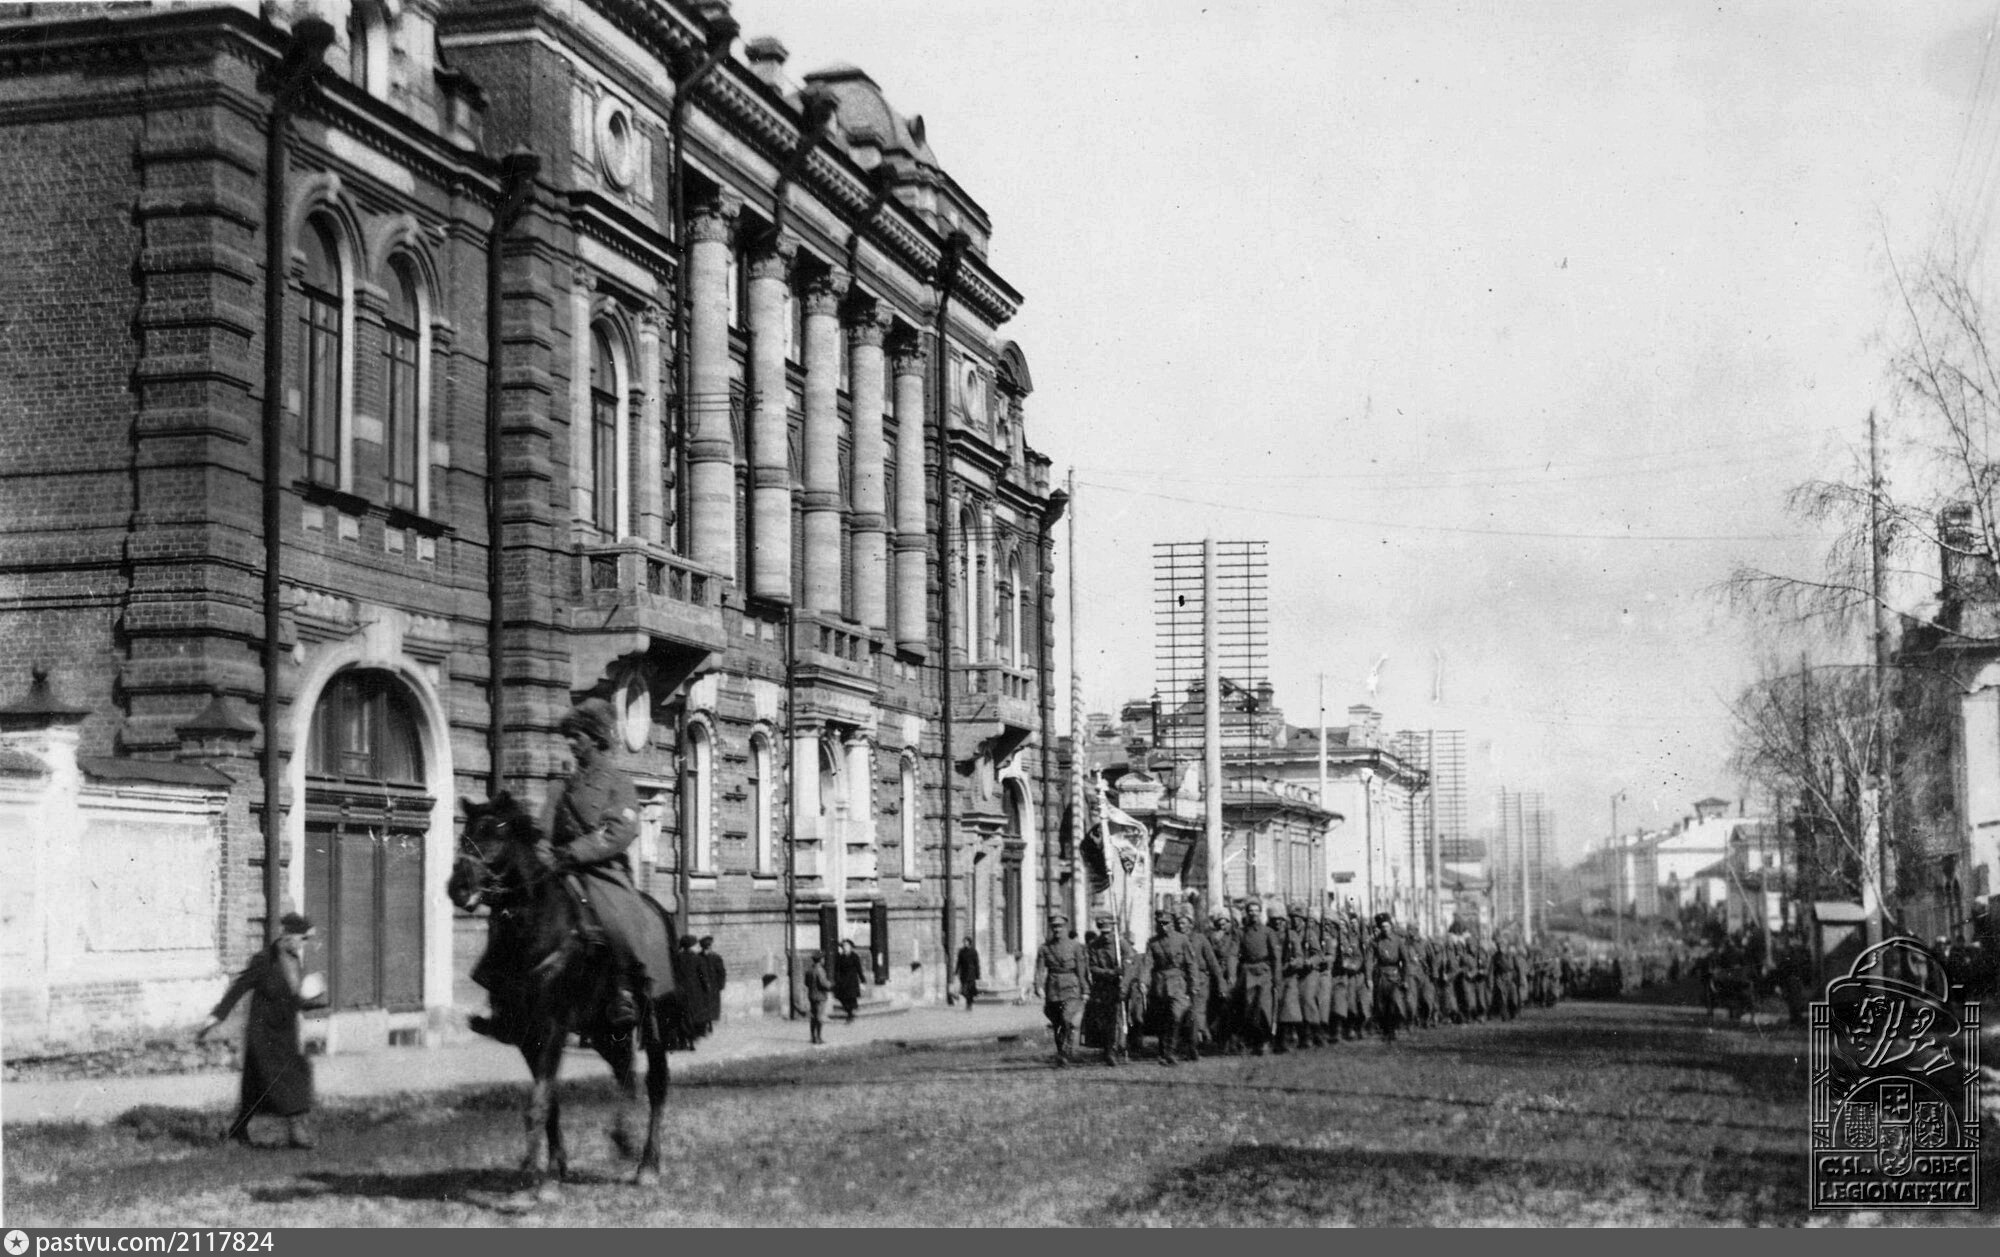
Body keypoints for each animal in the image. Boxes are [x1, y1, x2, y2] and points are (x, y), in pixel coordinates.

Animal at [448, 792, 676, 1188]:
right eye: (465, 836)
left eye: (496, 834)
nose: (458, 888)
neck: (532, 933)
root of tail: (657, 910)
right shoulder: (527, 1035)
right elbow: (548, 1099)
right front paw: (554, 1167)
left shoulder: (553, 1025)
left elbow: (539, 1102)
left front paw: (535, 1181)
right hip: (603, 1030)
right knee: (625, 1074)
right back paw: (623, 1139)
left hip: (651, 1021)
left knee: (656, 1082)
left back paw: (648, 1164)